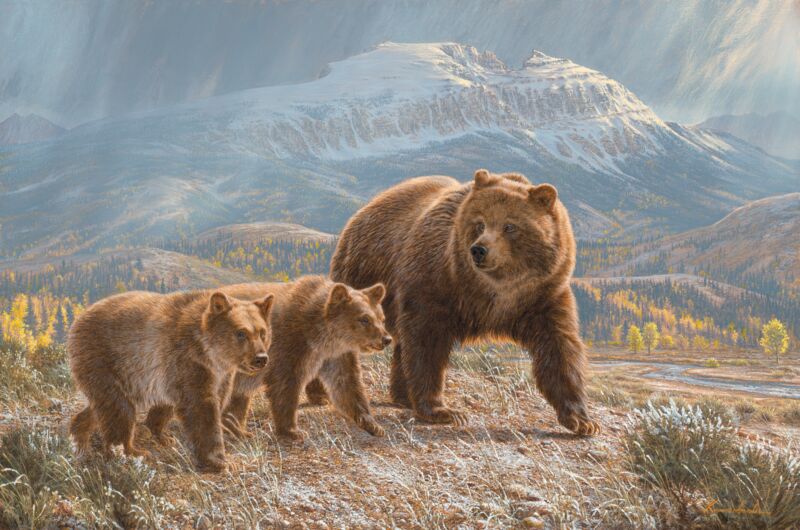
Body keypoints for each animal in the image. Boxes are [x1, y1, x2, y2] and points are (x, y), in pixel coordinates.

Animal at [68, 289, 274, 472]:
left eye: (262, 332)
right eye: (241, 333)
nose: (261, 358)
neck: (209, 352)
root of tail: (78, 320)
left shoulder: (219, 375)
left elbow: (214, 399)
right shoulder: (188, 360)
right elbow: (200, 407)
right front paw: (220, 461)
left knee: (101, 407)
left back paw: (79, 440)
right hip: (105, 361)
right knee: (117, 409)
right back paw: (131, 451)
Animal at [144, 275, 391, 443]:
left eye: (381, 317)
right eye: (364, 319)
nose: (386, 339)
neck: (320, 333)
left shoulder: (335, 354)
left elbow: (347, 385)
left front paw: (373, 424)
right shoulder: (291, 345)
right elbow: (285, 385)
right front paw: (292, 431)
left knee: (237, 397)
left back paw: (237, 430)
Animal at [315, 169, 599, 435]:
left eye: (510, 226)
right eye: (479, 223)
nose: (479, 250)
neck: (493, 289)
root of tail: (361, 212)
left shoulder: (542, 297)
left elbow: (559, 348)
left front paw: (581, 420)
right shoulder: (435, 284)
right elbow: (426, 343)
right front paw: (443, 410)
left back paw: (402, 397)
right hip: (361, 275)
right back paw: (321, 393)